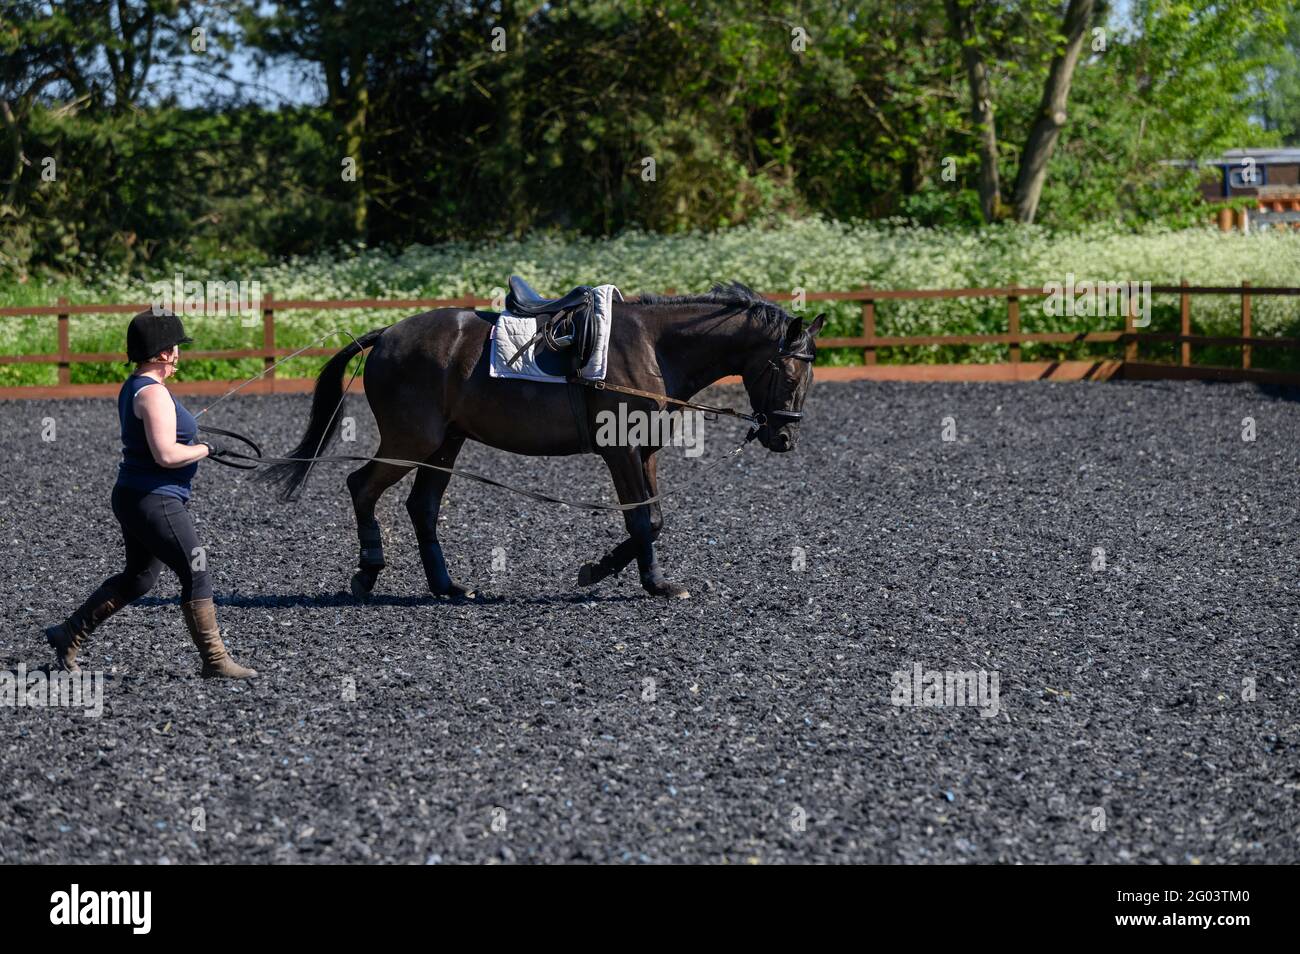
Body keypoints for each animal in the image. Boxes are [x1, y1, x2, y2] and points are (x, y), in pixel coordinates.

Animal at [261, 282, 825, 599]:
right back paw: (368, 573)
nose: (784, 436)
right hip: (411, 440)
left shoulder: (645, 450)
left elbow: (655, 518)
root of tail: (388, 334)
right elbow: (643, 519)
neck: (654, 347)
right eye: (786, 372)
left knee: (421, 506)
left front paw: (626, 574)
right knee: (362, 486)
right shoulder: (620, 450)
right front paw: (620, 576)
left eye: (810, 375)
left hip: (445, 444)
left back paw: (447, 587)